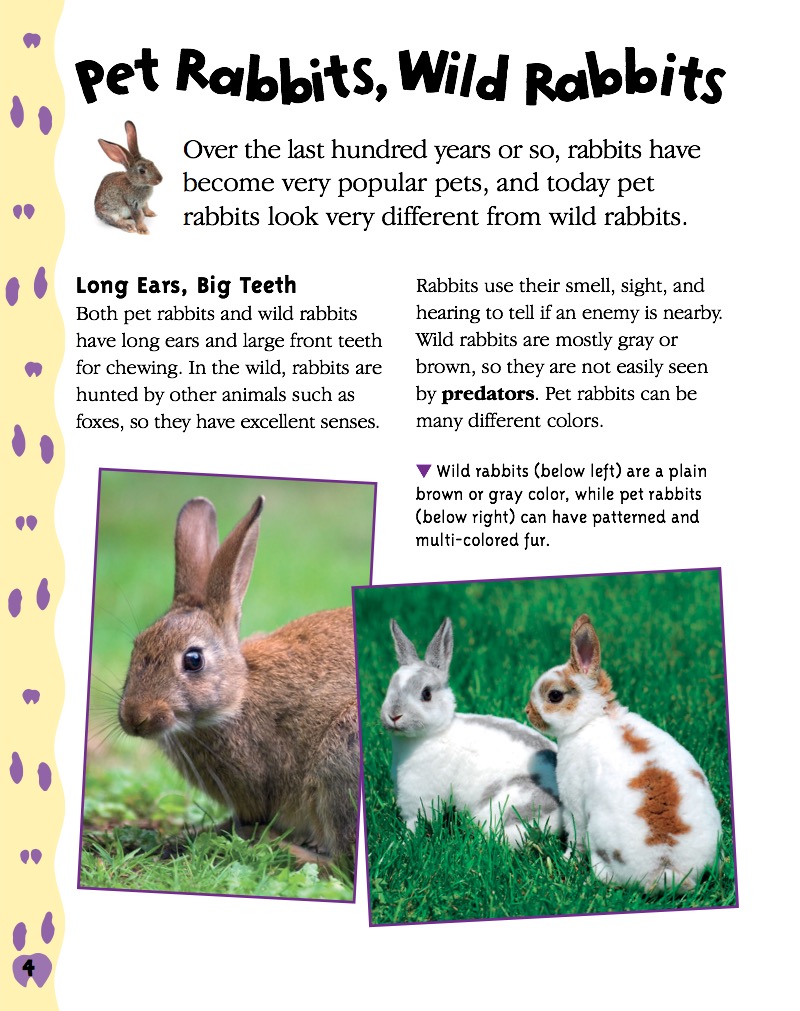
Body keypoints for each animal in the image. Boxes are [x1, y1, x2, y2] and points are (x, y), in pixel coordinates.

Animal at [381, 617, 560, 847]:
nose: (394, 715)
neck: (437, 733)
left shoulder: (420, 795)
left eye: (426, 694)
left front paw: (404, 841)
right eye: (389, 687)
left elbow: (415, 820)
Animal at [525, 614, 722, 891]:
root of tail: (666, 868)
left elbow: (575, 836)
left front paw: (565, 859)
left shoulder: (574, 804)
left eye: (554, 695)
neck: (591, 720)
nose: (527, 712)